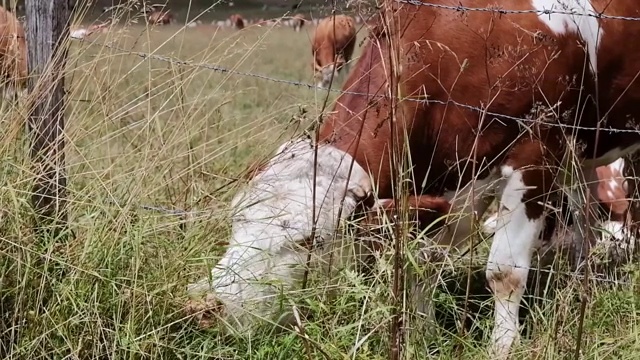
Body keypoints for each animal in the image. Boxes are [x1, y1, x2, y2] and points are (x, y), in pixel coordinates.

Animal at [190, 0, 640, 358]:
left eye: (310, 240)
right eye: (235, 218)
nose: (206, 308)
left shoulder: (534, 154)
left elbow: (504, 271)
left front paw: (503, 346)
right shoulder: (432, 183)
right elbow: (421, 262)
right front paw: (422, 335)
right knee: (585, 213)